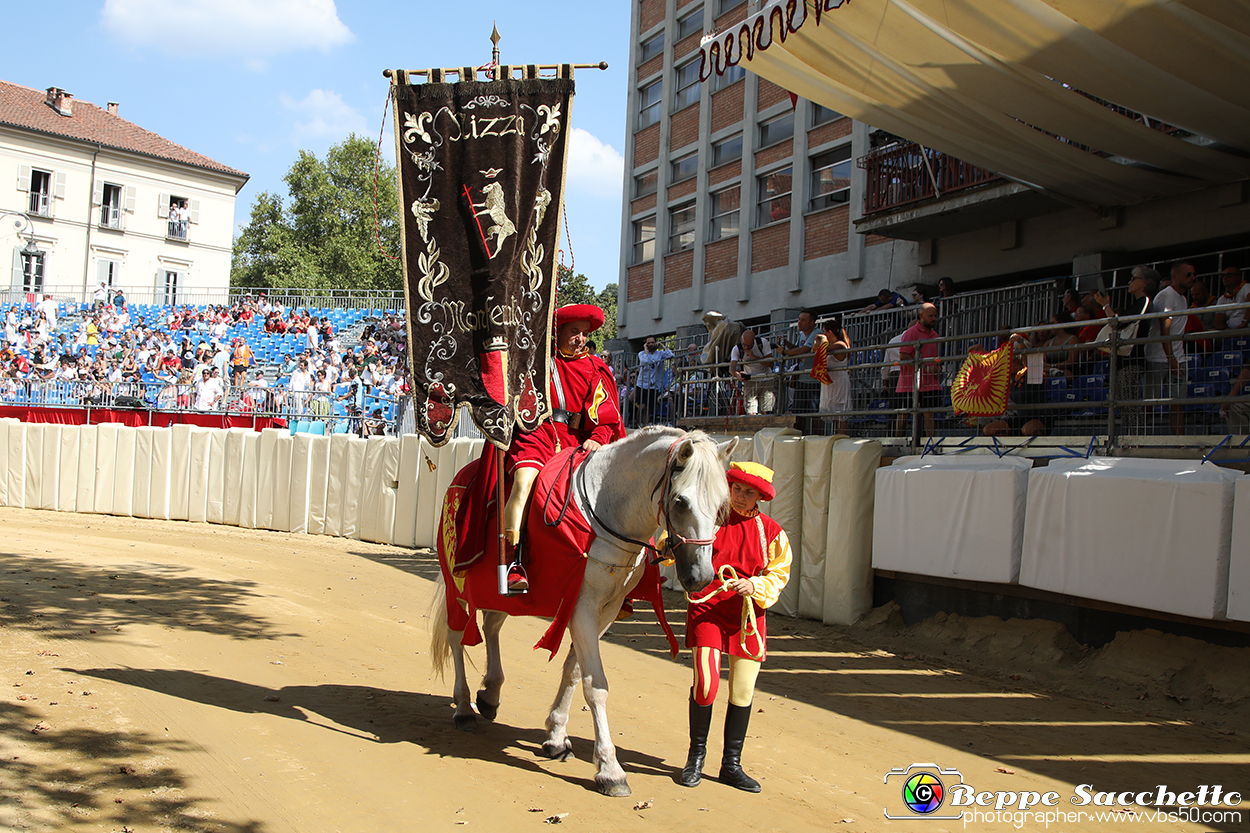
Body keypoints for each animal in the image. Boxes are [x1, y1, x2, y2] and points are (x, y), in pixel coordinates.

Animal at [430, 425, 730, 795]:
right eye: (680, 502)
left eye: (721, 506)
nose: (701, 577)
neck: (606, 509)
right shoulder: (582, 607)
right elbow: (596, 685)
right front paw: (610, 769)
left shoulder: (606, 610)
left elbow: (574, 672)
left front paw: (557, 736)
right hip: (457, 583)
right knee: (458, 637)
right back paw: (464, 707)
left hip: (500, 594)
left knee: (492, 626)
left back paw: (491, 693)